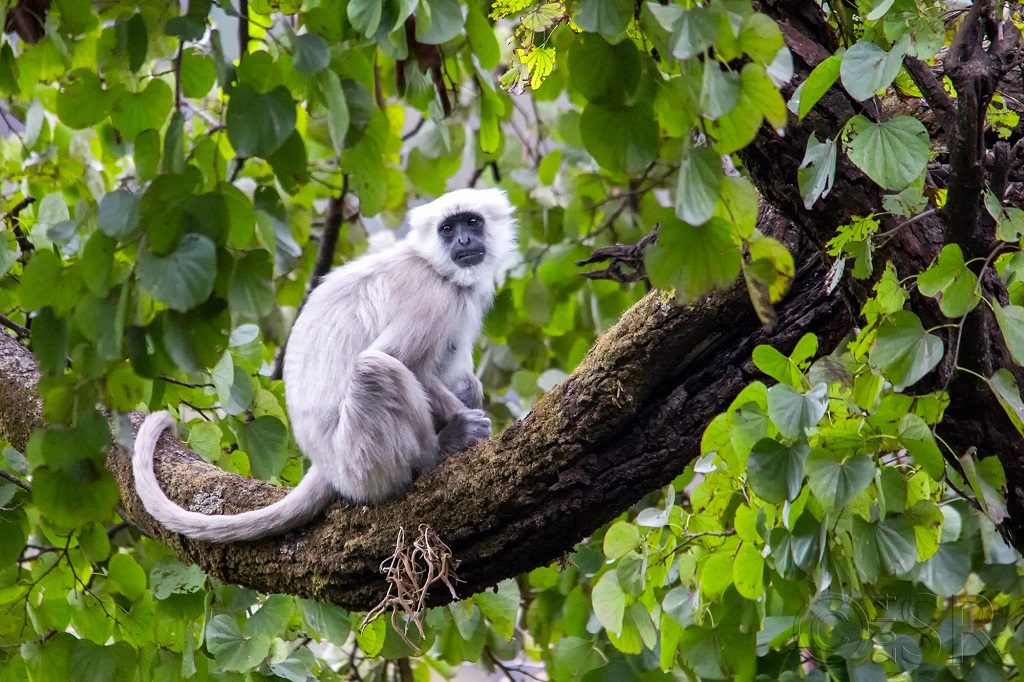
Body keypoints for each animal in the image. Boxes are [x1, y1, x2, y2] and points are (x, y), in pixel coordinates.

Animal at [134, 188, 520, 540]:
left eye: (472, 222)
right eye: (448, 229)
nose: (464, 239)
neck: (434, 266)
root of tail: (326, 465)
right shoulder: (432, 295)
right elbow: (401, 362)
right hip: (359, 461)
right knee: (374, 368)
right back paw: (437, 452)